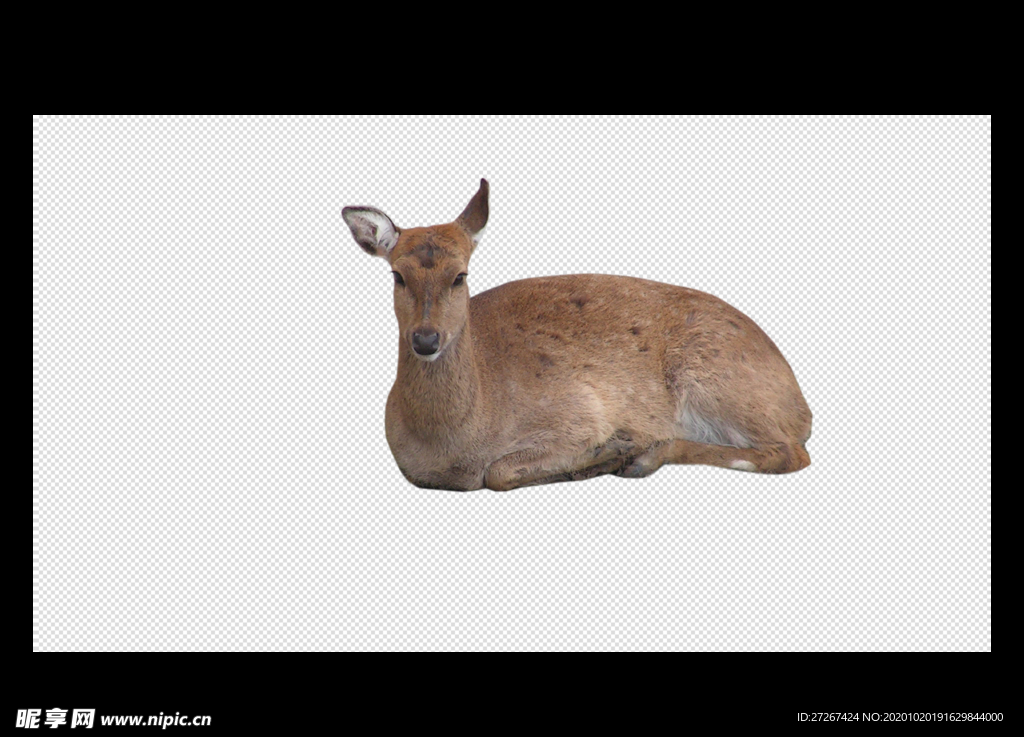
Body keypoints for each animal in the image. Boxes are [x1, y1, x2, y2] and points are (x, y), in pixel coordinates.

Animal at [343, 179, 812, 491]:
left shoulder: (579, 410)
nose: (426, 340)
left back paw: (642, 455)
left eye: (460, 275)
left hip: (715, 379)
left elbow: (498, 472)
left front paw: (608, 451)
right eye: (397, 275)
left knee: (790, 452)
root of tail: (802, 404)